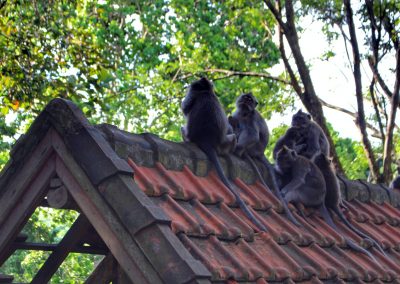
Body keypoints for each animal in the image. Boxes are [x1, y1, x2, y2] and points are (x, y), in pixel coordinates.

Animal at [183, 77, 268, 231]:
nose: (246, 101)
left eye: (250, 100)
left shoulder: (193, 93)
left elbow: (185, 107)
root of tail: (206, 140)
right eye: (245, 98)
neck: (206, 92)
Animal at [228, 93, 300, 226]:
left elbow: (252, 134)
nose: (246, 101)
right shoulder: (238, 113)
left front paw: (237, 148)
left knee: (245, 130)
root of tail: (260, 152)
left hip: (253, 148)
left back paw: (239, 151)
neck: (244, 113)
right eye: (245, 98)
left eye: (250, 100)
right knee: (234, 122)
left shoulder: (251, 117)